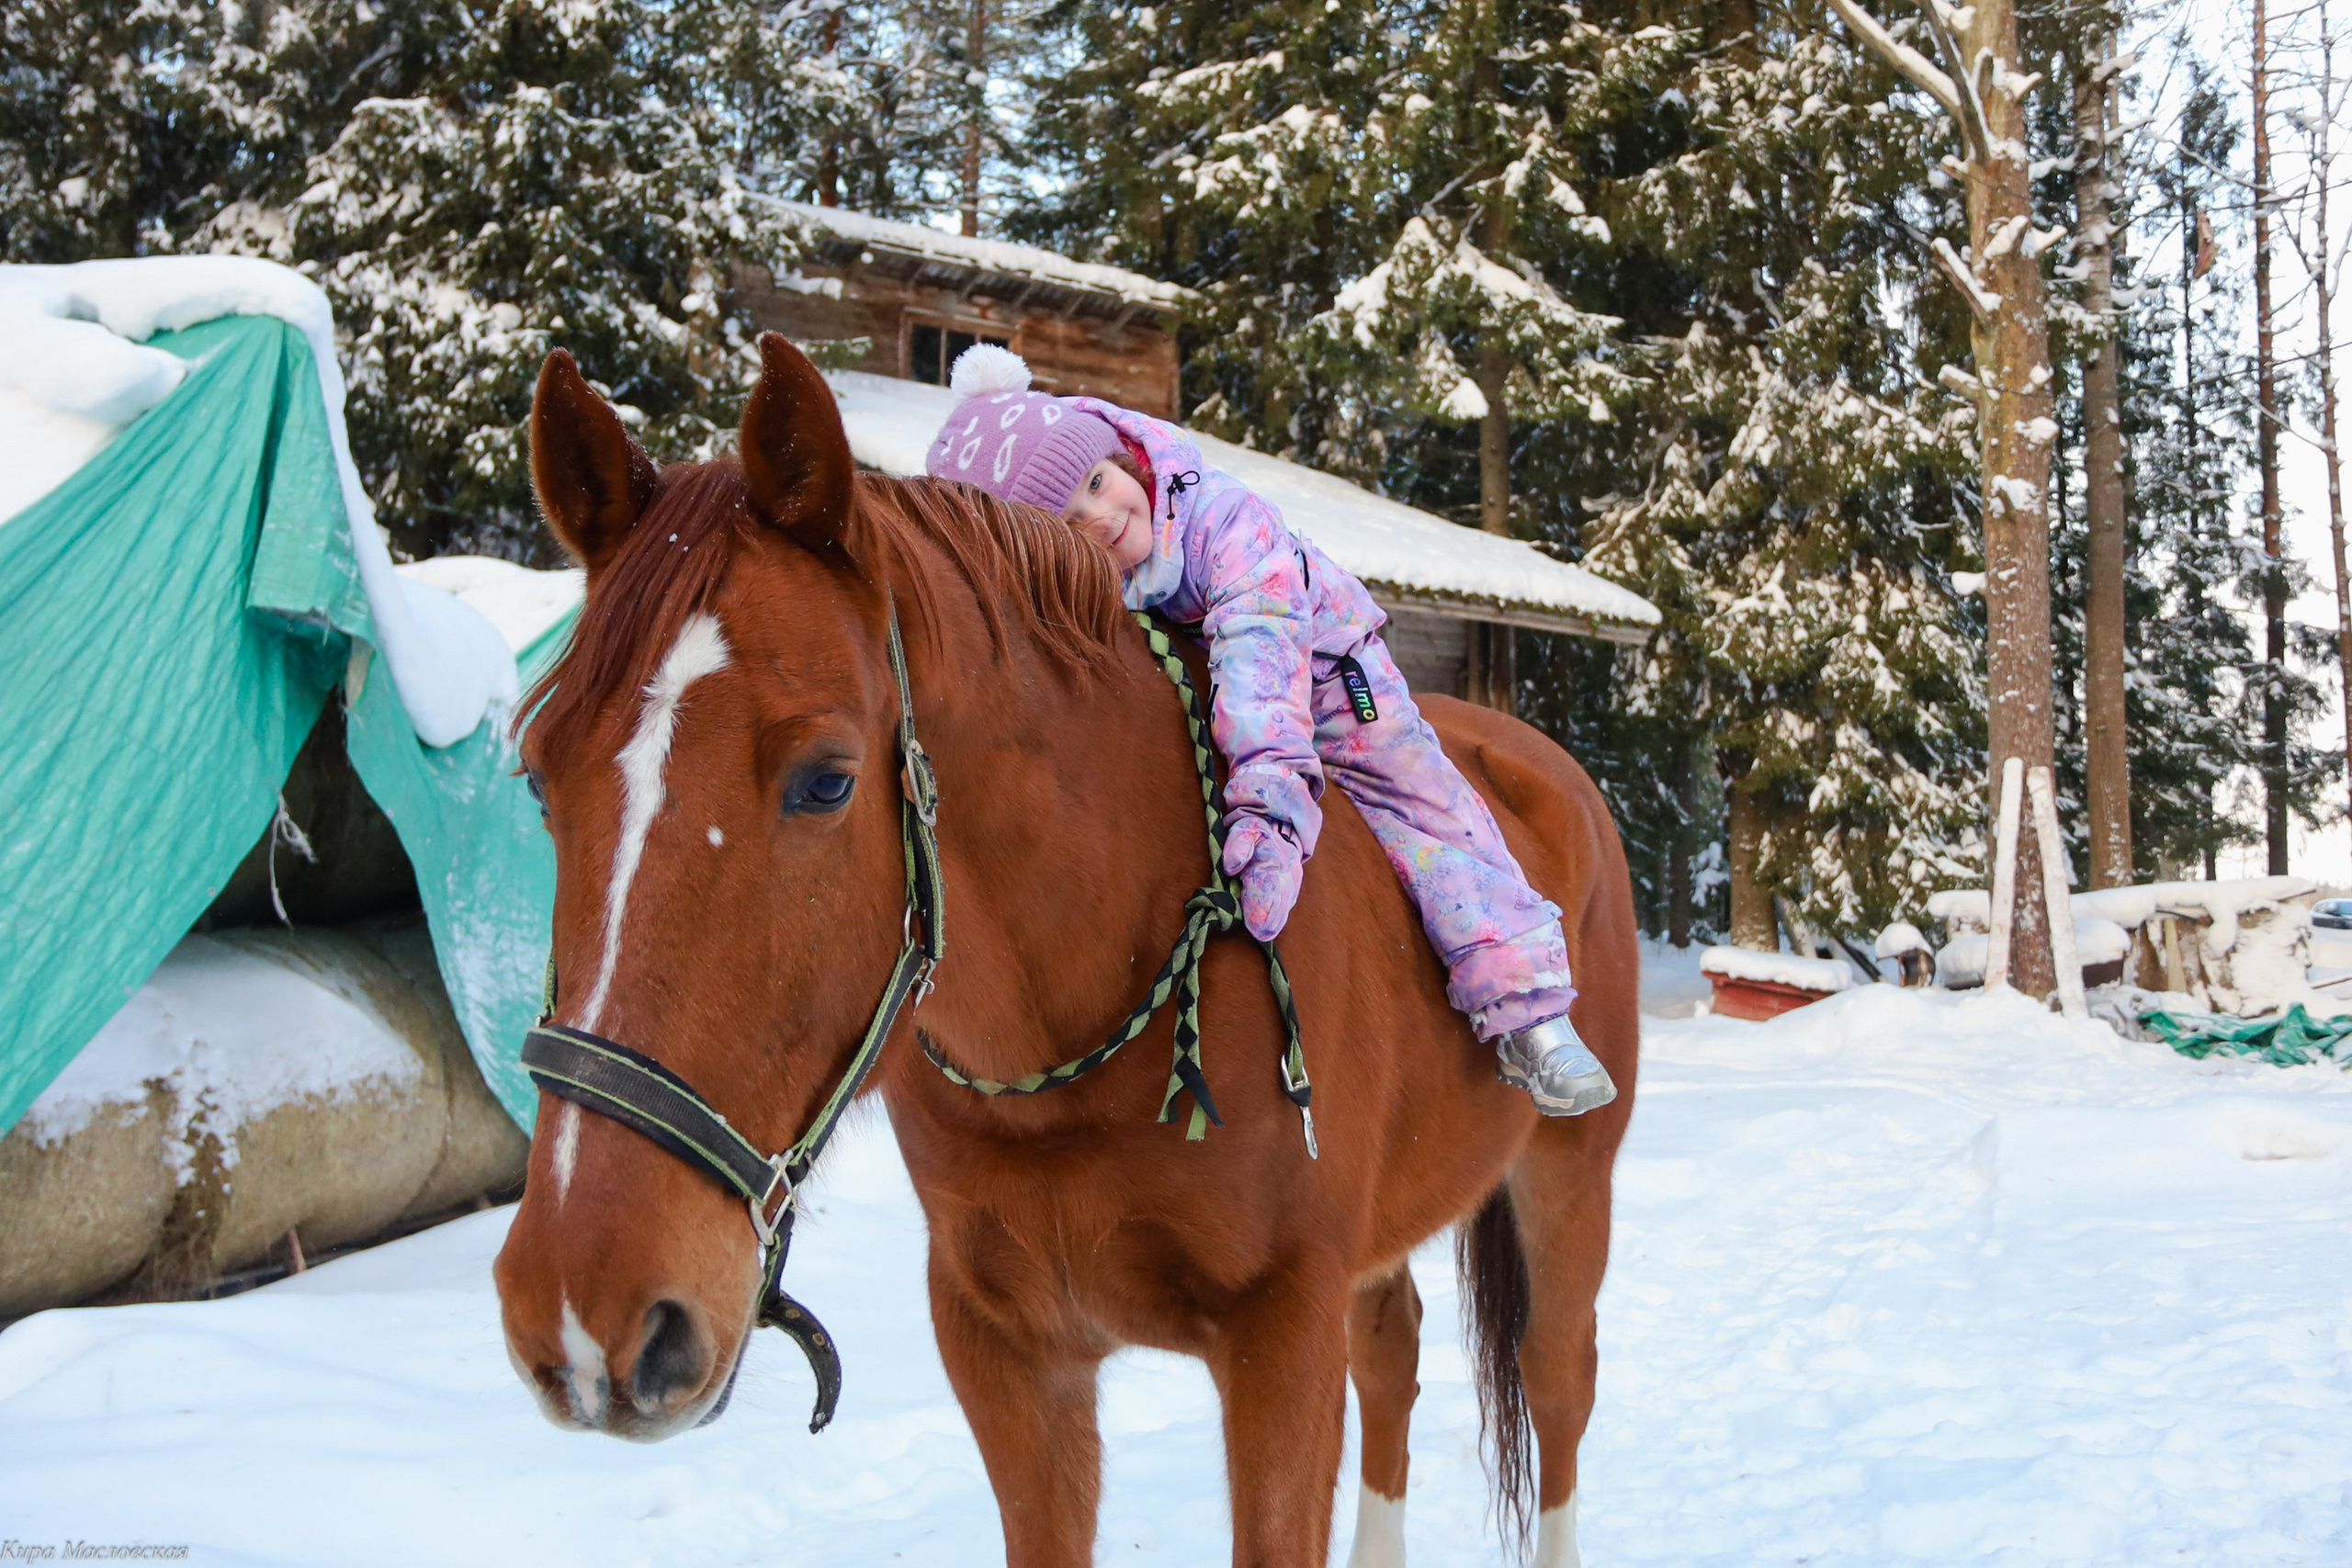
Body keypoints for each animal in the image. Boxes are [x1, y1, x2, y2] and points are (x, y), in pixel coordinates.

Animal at [492, 334, 1640, 1568]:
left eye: (826, 781)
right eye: (538, 777)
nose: (584, 1310)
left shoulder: (1281, 1338)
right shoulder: (1006, 1351)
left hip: (1568, 1180)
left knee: (1558, 1380)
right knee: (1394, 1354)